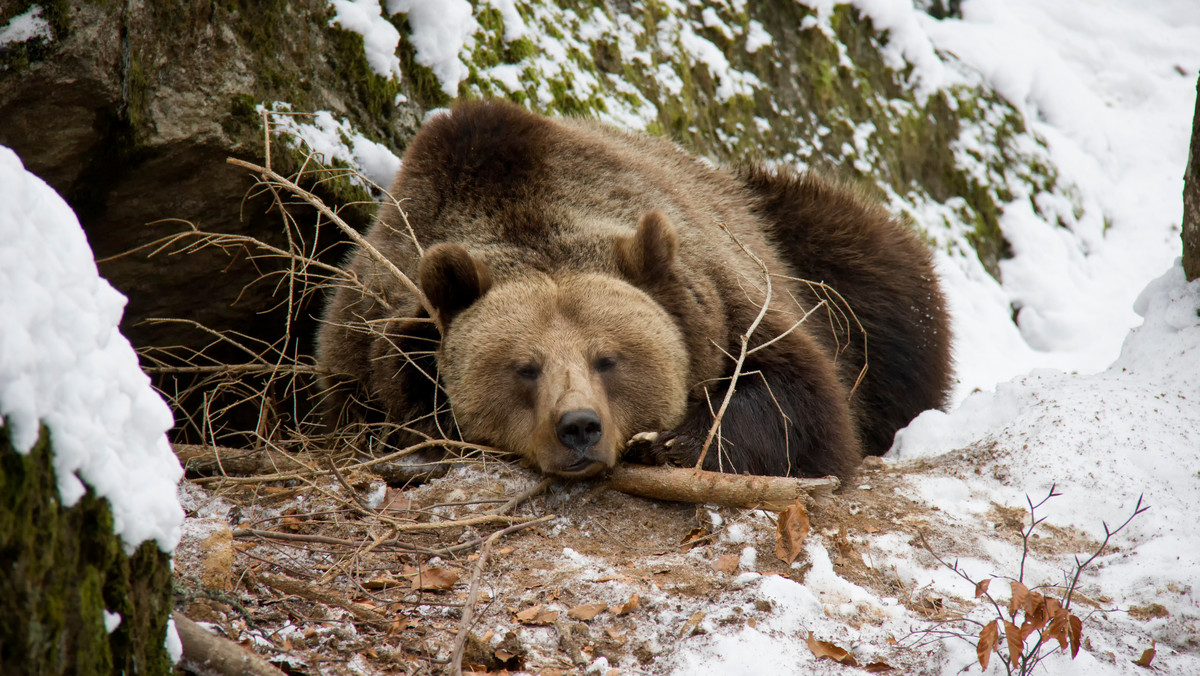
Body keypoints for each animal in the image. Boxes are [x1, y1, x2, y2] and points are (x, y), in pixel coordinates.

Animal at [314, 99, 950, 480]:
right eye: (525, 367)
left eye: (609, 359)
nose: (578, 426)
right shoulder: (363, 342)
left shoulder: (727, 298)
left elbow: (799, 400)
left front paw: (671, 442)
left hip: (812, 248)